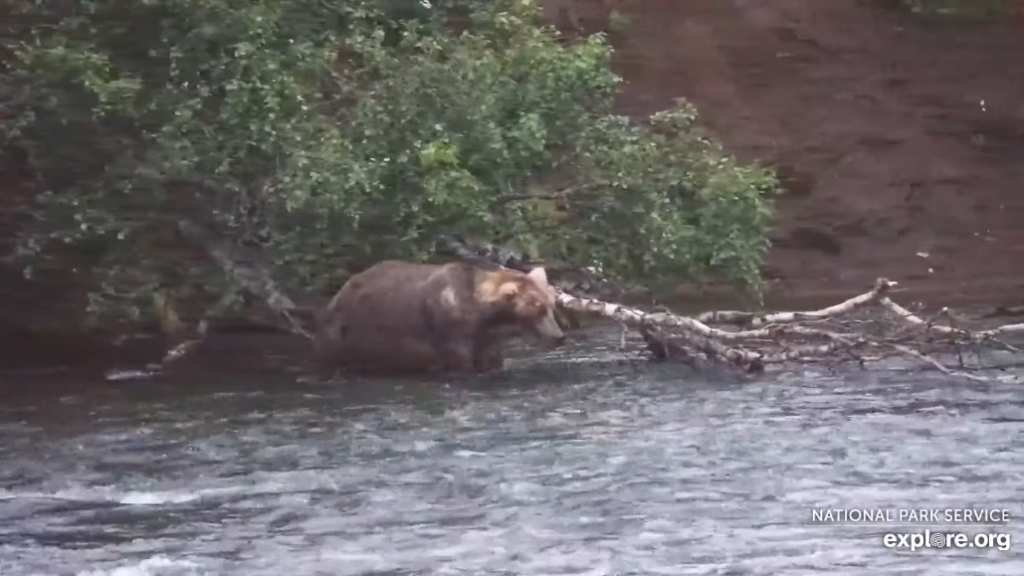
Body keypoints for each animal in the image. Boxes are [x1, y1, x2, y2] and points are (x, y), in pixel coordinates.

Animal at [311, 258, 569, 375]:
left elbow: (491, 360)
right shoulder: (450, 326)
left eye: (550, 305)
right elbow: (460, 360)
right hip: (348, 324)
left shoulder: (486, 335)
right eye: (537, 307)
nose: (559, 337)